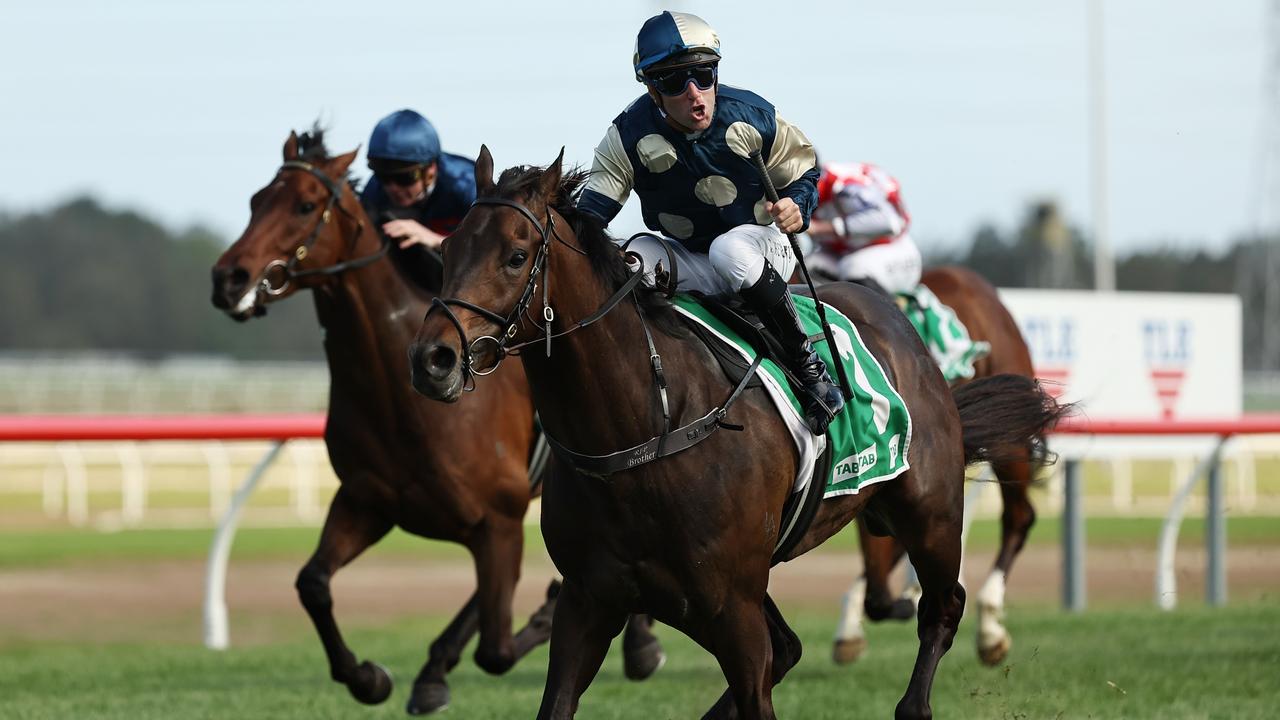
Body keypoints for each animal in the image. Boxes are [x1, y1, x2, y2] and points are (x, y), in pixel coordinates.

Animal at [208, 128, 660, 712]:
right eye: (256, 200)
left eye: (305, 205)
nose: (228, 278)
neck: (401, 402)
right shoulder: (367, 501)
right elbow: (313, 583)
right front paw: (371, 677)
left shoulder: (499, 518)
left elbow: (497, 648)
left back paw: (640, 642)